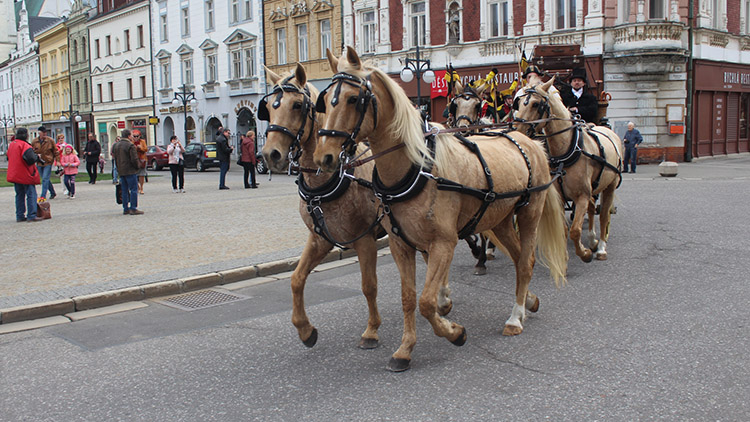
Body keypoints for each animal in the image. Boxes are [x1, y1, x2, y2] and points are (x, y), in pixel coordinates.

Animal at [262, 63, 384, 350]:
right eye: (269, 107)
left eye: (297, 105)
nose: (270, 154)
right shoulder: (320, 239)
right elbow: (297, 279)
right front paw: (305, 329)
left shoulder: (365, 240)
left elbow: (369, 285)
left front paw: (372, 330)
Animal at [314, 45, 568, 370]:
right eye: (324, 101)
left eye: (353, 99)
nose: (324, 157)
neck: (416, 169)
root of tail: (528, 139)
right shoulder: (400, 244)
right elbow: (409, 297)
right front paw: (405, 349)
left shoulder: (444, 243)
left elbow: (426, 301)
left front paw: (454, 332)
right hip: (498, 219)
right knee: (517, 256)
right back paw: (528, 302)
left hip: (529, 212)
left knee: (526, 262)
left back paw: (515, 317)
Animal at [516, 76, 624, 260]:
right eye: (519, 102)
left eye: (536, 104)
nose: (517, 130)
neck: (568, 151)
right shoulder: (562, 198)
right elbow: (566, 229)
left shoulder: (581, 196)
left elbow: (575, 230)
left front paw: (584, 253)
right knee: (591, 209)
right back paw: (593, 240)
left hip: (609, 186)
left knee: (603, 215)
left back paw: (601, 247)